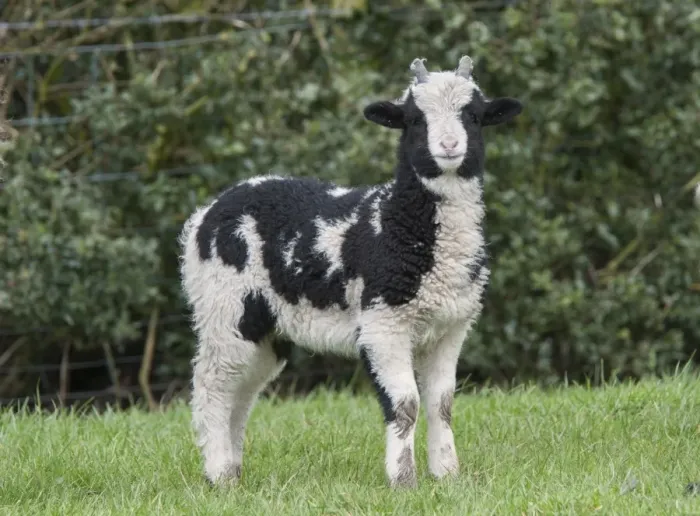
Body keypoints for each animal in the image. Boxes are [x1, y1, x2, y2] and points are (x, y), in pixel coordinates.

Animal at [178, 54, 523, 489]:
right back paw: (219, 474)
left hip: (264, 329)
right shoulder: (383, 324)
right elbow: (405, 403)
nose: (448, 146)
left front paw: (447, 475)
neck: (398, 221)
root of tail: (204, 215)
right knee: (212, 385)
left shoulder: (451, 327)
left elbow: (441, 404)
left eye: (474, 116)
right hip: (224, 306)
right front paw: (403, 480)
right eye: (414, 120)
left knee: (242, 392)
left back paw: (233, 470)